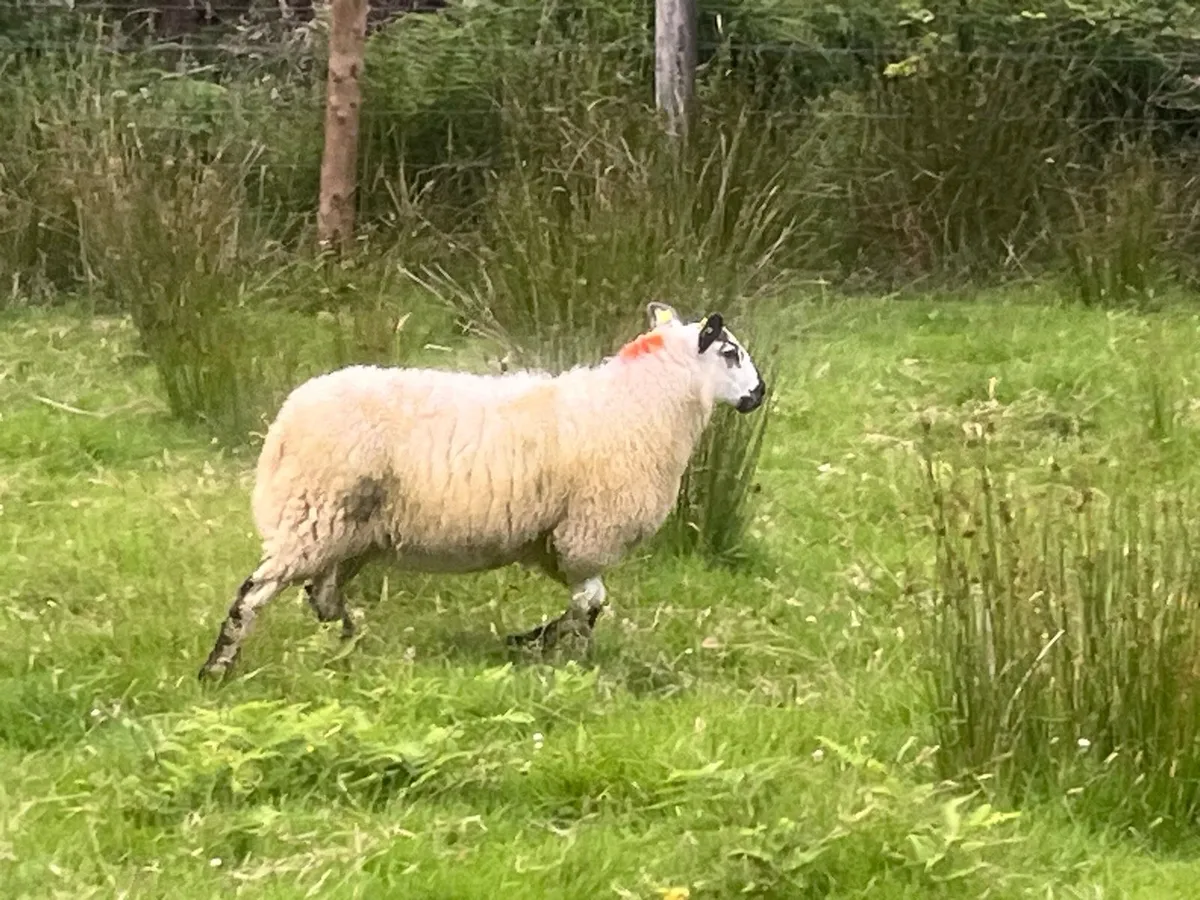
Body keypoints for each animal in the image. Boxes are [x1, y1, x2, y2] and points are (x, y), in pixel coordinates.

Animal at [197, 301, 768, 679]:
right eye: (731, 352)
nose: (760, 394)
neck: (641, 402)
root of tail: (284, 425)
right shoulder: (585, 534)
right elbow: (592, 604)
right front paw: (555, 651)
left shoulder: (552, 539)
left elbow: (587, 603)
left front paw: (532, 642)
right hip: (313, 517)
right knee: (254, 593)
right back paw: (217, 670)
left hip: (348, 531)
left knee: (323, 594)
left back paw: (355, 644)